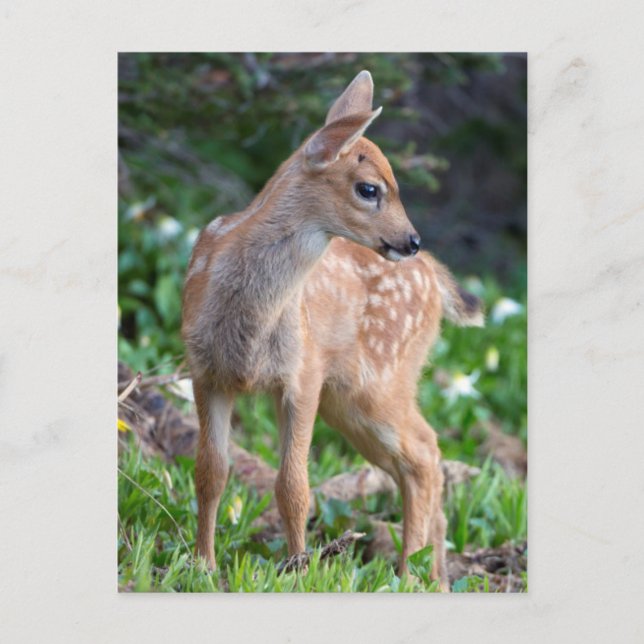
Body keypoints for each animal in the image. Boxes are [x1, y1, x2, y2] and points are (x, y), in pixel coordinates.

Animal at [182, 70, 483, 591]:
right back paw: (434, 576)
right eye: (369, 189)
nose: (411, 239)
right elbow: (211, 473)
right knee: (421, 457)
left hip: (378, 381)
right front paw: (203, 566)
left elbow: (293, 485)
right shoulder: (206, 372)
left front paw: (298, 570)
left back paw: (408, 573)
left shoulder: (303, 374)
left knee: (424, 453)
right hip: (351, 400)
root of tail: (434, 275)